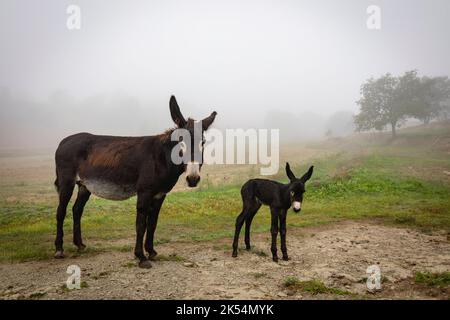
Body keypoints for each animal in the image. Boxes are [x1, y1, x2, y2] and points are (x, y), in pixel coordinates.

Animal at [53, 95, 217, 268]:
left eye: (203, 142)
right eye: (180, 141)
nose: (193, 179)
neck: (161, 157)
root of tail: (63, 141)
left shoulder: (160, 194)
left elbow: (152, 223)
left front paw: (151, 252)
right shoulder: (144, 192)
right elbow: (141, 224)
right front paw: (141, 257)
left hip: (84, 185)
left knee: (77, 210)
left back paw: (79, 245)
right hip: (67, 182)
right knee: (61, 212)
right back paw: (59, 249)